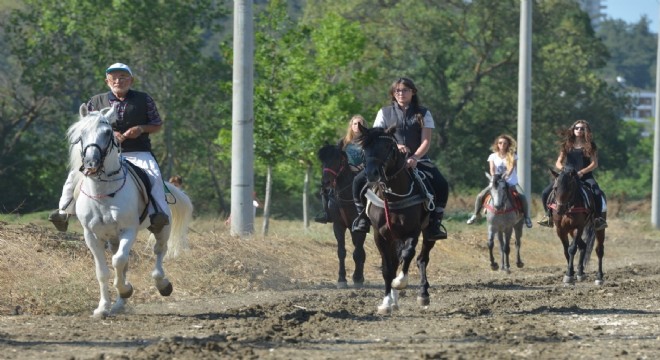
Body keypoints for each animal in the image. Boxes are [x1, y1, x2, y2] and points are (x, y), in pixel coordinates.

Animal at [69, 104, 193, 318]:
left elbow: (119, 261)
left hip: (162, 228)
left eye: (108, 132)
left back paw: (162, 285)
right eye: (81, 133)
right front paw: (103, 307)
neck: (103, 193)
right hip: (113, 238)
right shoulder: (91, 236)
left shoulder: (128, 230)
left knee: (159, 251)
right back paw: (120, 304)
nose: (92, 164)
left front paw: (126, 289)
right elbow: (103, 272)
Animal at [318, 145, 366, 288]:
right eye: (323, 161)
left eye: (337, 160)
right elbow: (341, 252)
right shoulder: (338, 225)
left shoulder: (359, 227)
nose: (325, 182)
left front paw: (357, 278)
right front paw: (341, 279)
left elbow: (357, 252)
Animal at [356, 124, 438, 316]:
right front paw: (386, 303)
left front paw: (400, 282)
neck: (392, 197)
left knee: (422, 259)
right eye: (364, 148)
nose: (372, 173)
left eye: (387, 147)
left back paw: (423, 294)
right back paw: (394, 301)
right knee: (394, 263)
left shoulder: (413, 231)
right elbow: (388, 269)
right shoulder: (380, 235)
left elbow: (408, 255)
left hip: (428, 234)